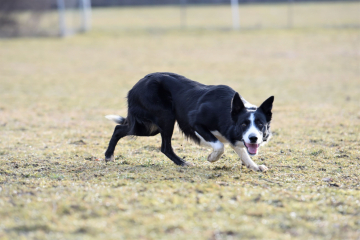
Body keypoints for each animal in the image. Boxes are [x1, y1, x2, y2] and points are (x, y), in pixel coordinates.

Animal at [105, 72, 274, 172]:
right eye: (243, 124)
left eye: (260, 124)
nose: (253, 138)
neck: (227, 111)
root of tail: (135, 86)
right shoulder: (195, 123)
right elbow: (219, 145)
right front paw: (212, 158)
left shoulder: (233, 137)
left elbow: (242, 151)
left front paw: (254, 166)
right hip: (165, 117)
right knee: (164, 146)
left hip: (150, 127)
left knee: (119, 128)